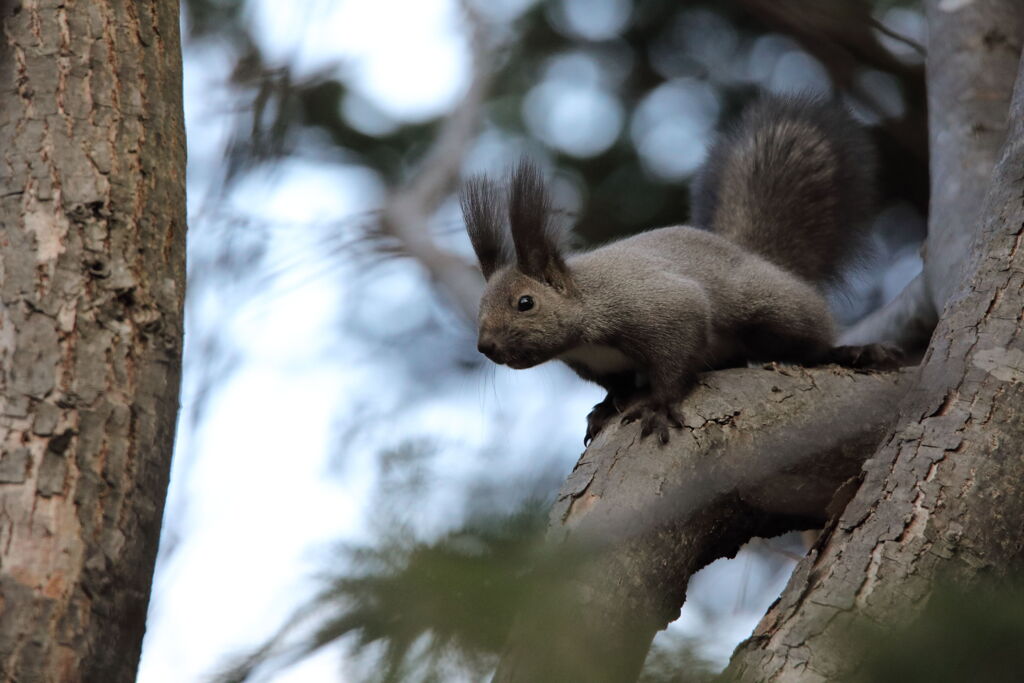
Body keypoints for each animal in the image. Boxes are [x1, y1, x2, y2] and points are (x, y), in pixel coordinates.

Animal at [460, 97, 901, 448]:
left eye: (525, 303)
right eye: (479, 306)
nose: (486, 346)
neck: (585, 318)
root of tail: (757, 257)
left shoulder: (660, 308)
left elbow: (675, 360)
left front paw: (657, 406)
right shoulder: (600, 365)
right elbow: (617, 386)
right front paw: (603, 408)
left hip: (774, 309)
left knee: (810, 344)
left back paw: (853, 351)